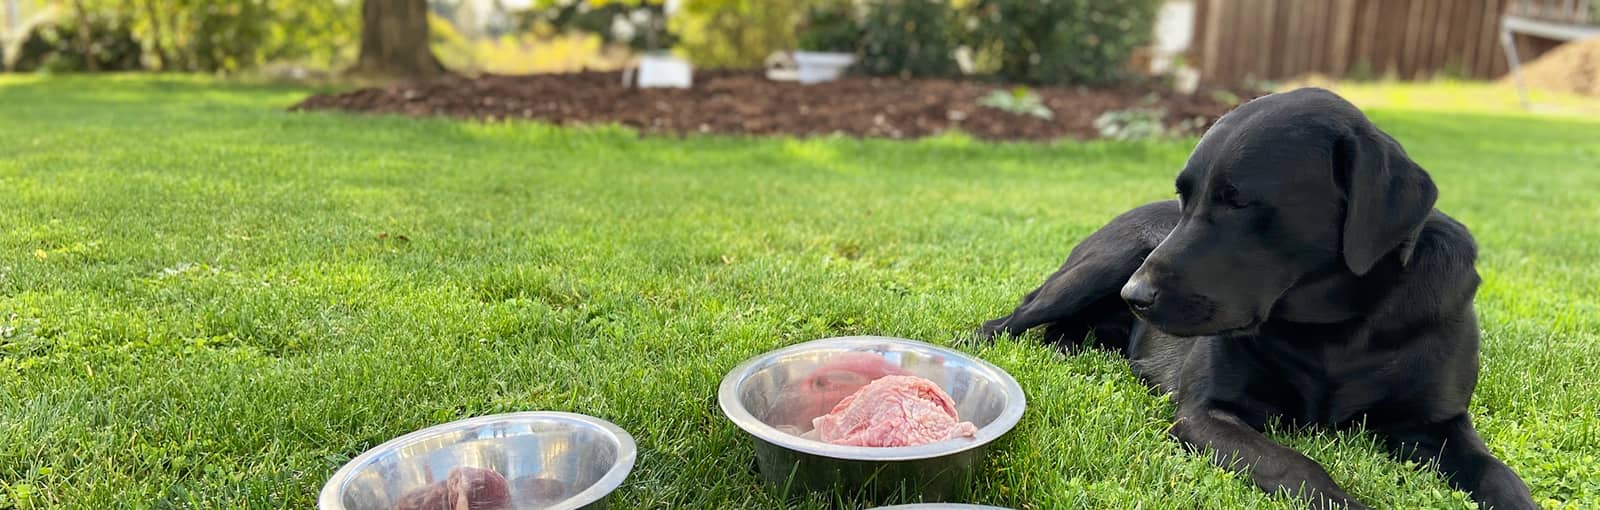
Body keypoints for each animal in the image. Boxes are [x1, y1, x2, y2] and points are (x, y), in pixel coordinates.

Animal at [972, 88, 1536, 510]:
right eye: (1184, 196)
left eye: (1237, 201)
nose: (1136, 296)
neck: (1336, 331)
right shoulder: (1206, 413)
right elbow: (1298, 465)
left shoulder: (1439, 425)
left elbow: (1502, 477)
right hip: (1101, 265)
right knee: (1003, 323)